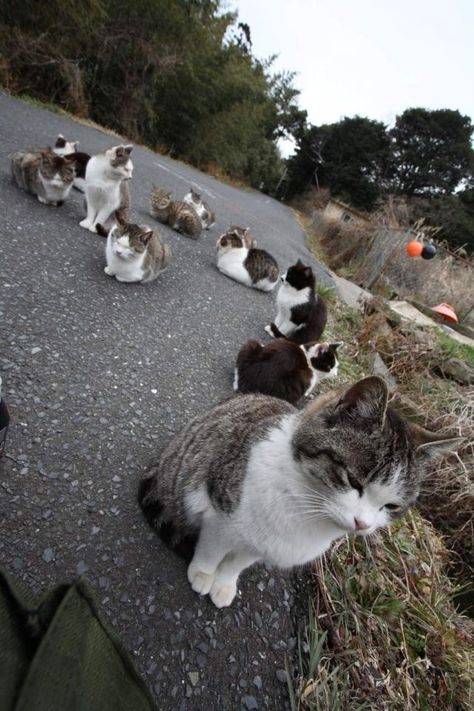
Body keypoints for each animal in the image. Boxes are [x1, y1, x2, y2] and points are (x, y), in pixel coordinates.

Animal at [139, 376, 462, 608]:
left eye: (392, 506)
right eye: (353, 480)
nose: (362, 524)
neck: (308, 507)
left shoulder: (263, 544)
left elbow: (237, 562)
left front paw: (224, 582)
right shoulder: (220, 510)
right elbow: (213, 548)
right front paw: (205, 573)